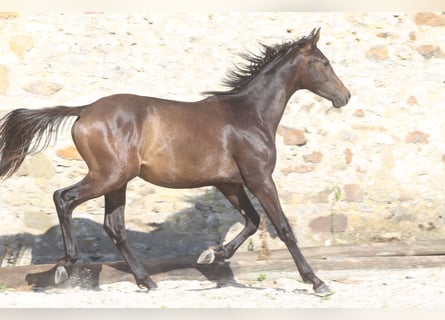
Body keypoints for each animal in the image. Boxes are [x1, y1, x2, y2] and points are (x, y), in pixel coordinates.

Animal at [0, 28, 348, 296]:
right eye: (325, 63)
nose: (345, 97)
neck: (249, 114)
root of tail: (85, 110)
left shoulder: (229, 183)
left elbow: (252, 221)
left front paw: (213, 255)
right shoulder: (259, 178)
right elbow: (282, 226)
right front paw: (317, 282)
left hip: (118, 181)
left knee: (115, 226)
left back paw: (146, 281)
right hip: (108, 176)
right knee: (64, 198)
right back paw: (65, 267)